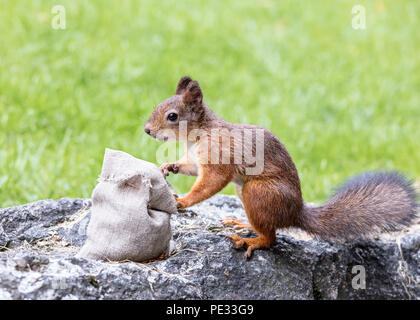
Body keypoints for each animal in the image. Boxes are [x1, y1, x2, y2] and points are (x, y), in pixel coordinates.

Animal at [144, 75, 416, 258]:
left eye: (172, 116)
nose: (147, 130)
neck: (198, 135)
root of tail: (296, 212)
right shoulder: (196, 160)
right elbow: (190, 168)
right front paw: (168, 166)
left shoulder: (219, 158)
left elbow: (209, 184)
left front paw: (183, 201)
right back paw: (244, 225)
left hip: (258, 192)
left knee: (271, 237)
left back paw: (251, 241)